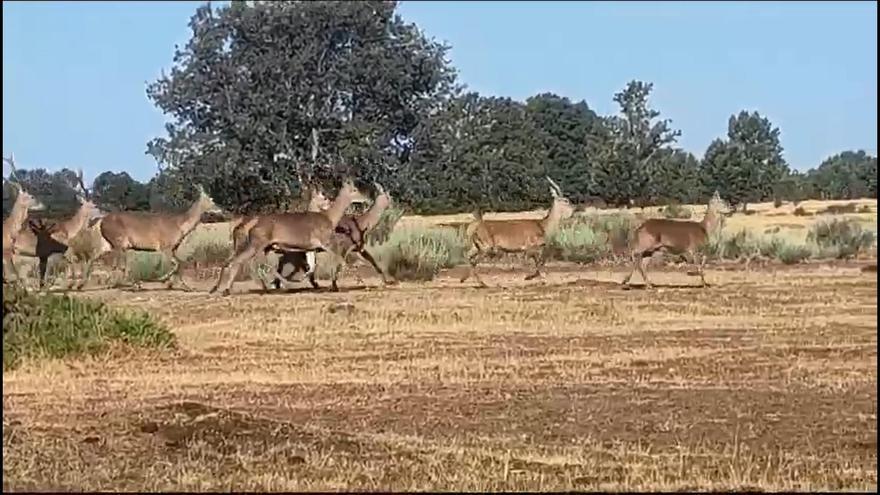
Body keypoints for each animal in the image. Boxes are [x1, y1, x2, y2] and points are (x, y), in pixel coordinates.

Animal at [79, 185, 222, 290]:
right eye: (211, 199)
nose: (220, 209)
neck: (180, 225)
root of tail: (101, 220)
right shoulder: (165, 246)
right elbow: (176, 264)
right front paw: (164, 280)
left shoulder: (173, 248)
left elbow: (180, 263)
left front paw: (184, 286)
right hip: (119, 241)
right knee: (119, 265)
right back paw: (131, 284)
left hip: (109, 244)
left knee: (94, 257)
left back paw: (80, 285)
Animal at [210, 177, 364, 294]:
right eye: (355, 189)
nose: (364, 198)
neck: (329, 218)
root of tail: (249, 224)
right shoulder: (326, 243)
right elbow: (340, 259)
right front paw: (339, 285)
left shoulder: (310, 248)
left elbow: (313, 266)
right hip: (256, 245)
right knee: (243, 262)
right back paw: (229, 290)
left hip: (260, 247)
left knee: (240, 262)